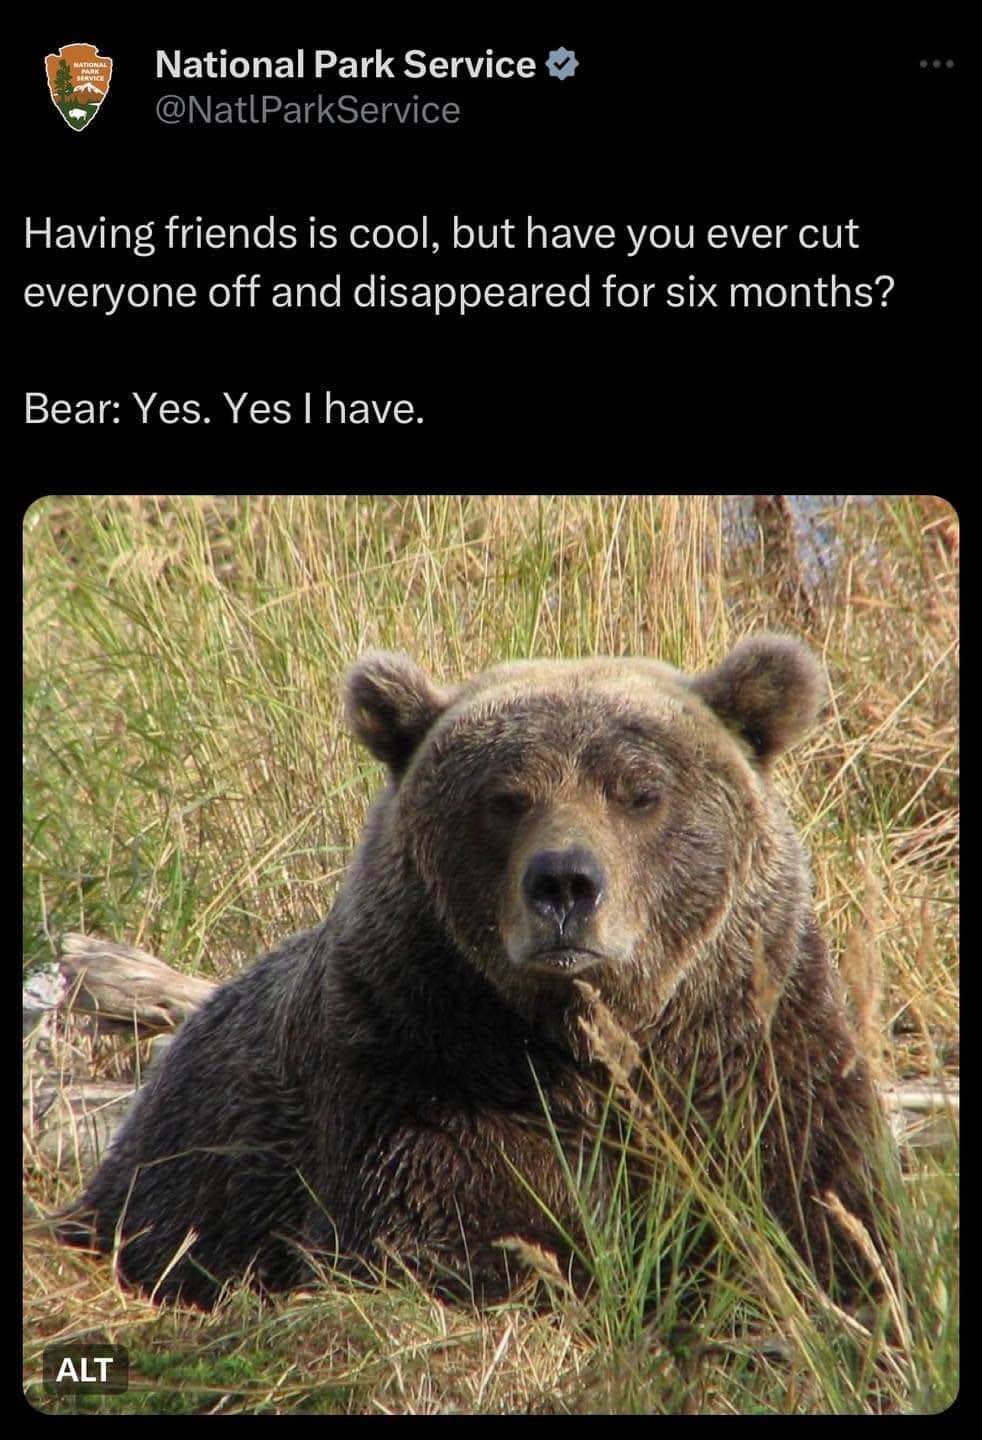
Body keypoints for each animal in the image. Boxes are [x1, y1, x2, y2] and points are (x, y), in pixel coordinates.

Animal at [61, 635, 888, 1309]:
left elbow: (823, 1211)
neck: (582, 1047)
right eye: (505, 798)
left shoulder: (759, 1061)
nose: (564, 884)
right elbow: (455, 1239)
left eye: (640, 793)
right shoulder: (423, 1070)